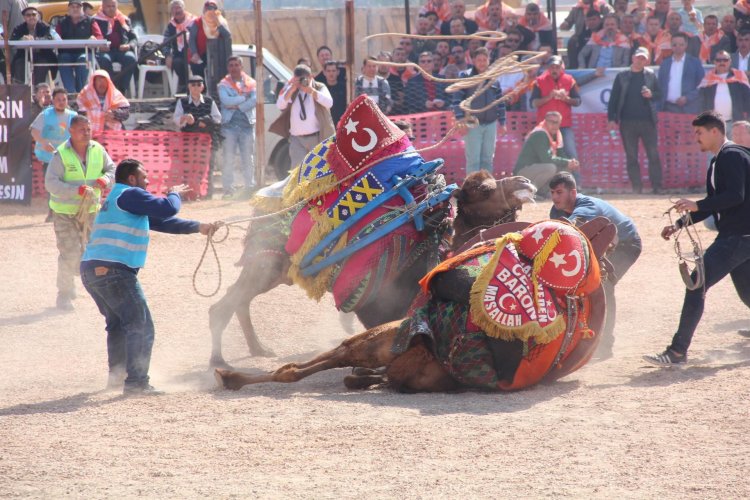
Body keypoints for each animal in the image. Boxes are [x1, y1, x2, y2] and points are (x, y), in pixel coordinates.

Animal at [209, 169, 536, 368]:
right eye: (484, 188)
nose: (525, 181)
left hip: (270, 270)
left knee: (239, 298)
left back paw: (258, 349)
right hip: (268, 265)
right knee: (224, 304)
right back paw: (219, 361)